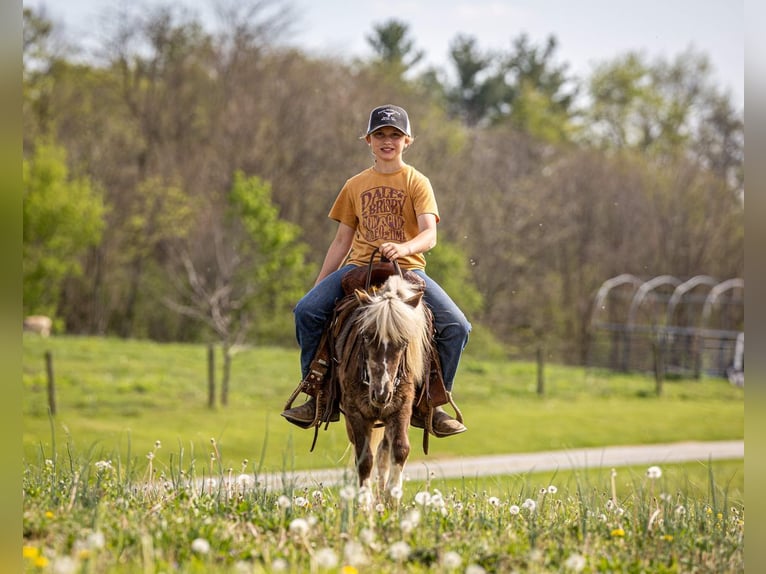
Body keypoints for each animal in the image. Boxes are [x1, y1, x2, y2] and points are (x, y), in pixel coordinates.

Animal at [335, 273, 432, 495]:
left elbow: (400, 450)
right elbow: (364, 459)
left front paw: (391, 498)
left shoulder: (401, 409)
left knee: (383, 453)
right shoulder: (355, 413)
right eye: (366, 336)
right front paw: (365, 502)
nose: (381, 394)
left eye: (403, 342)